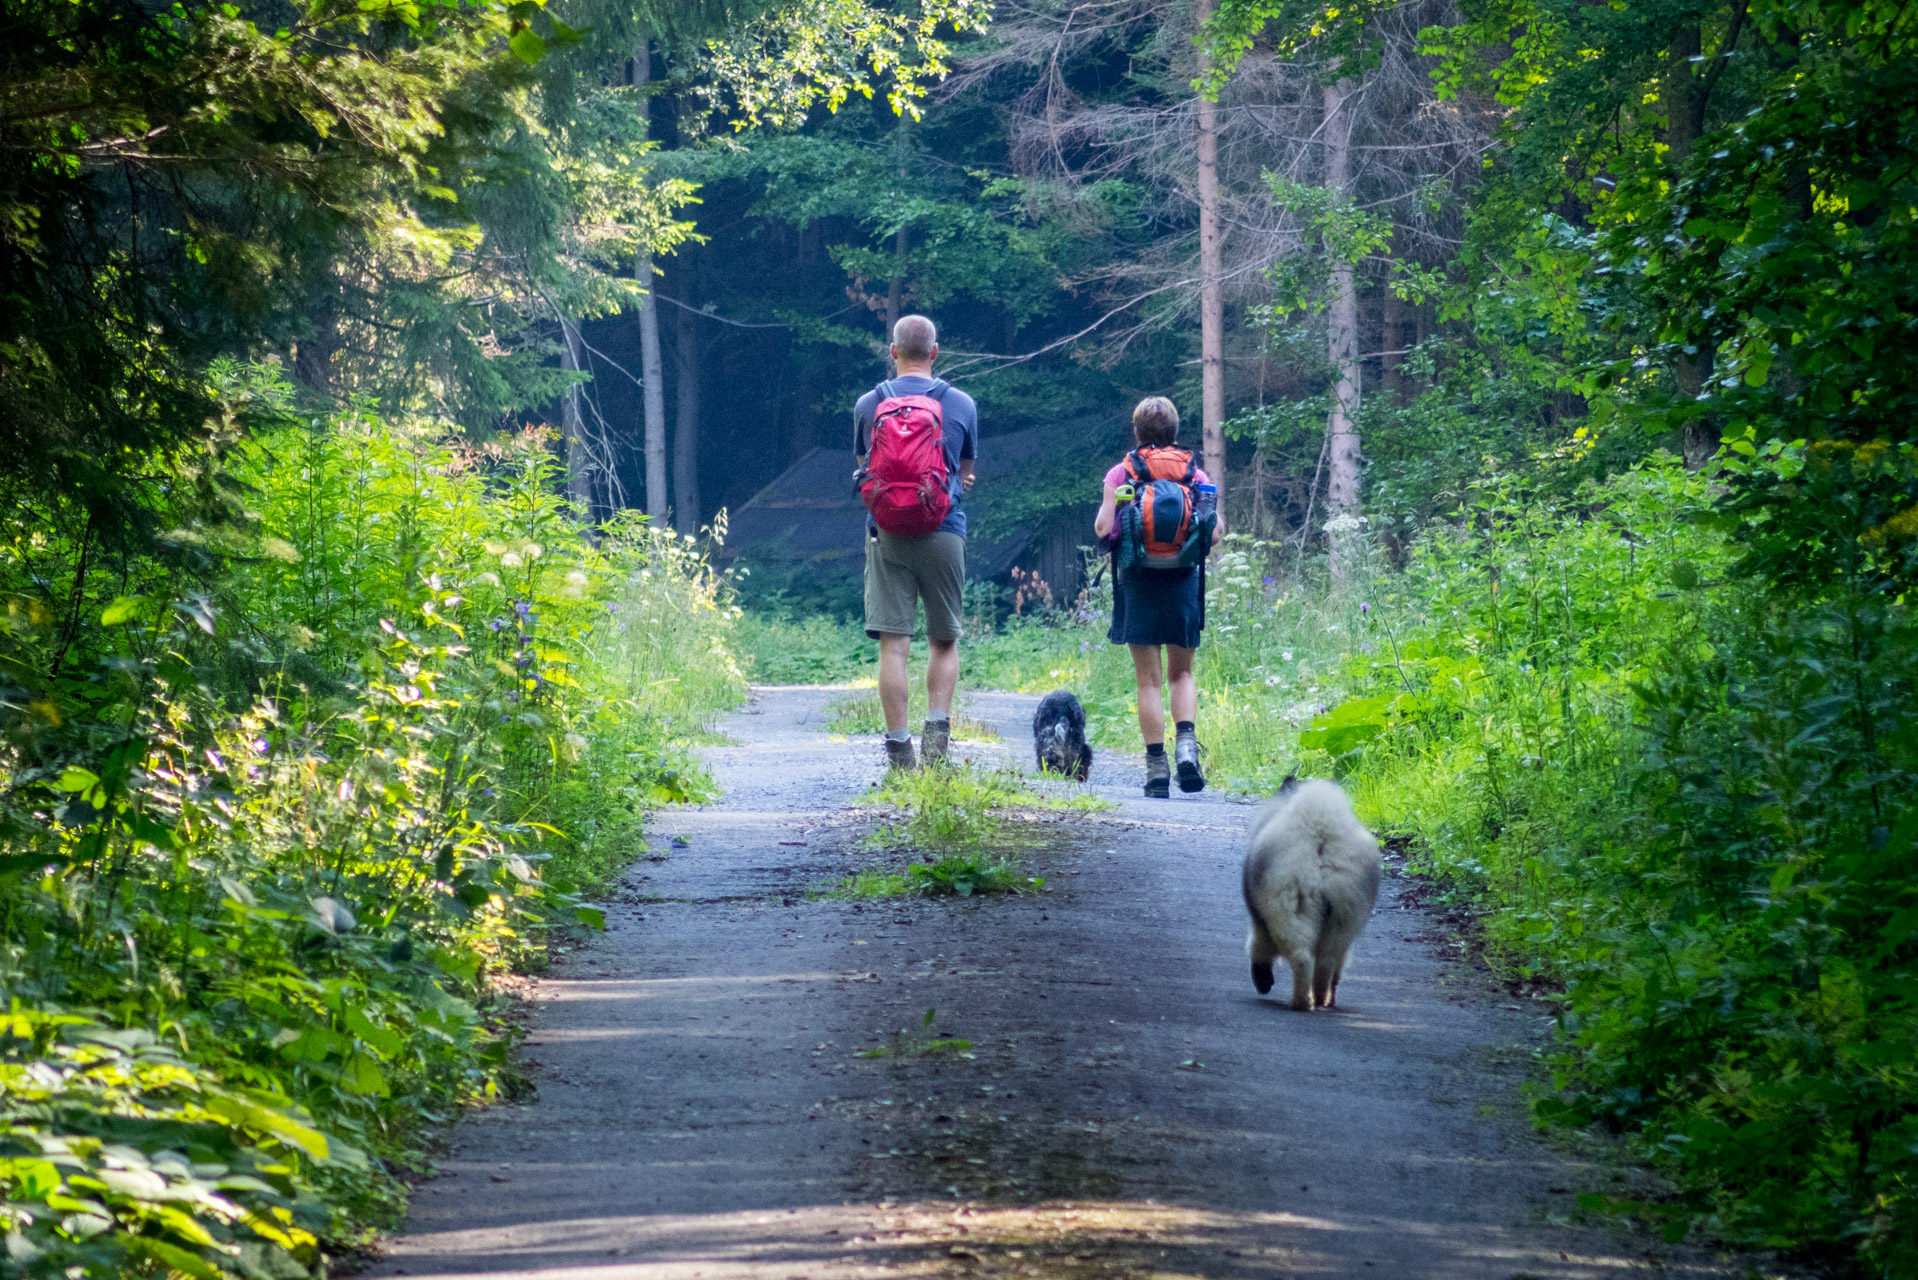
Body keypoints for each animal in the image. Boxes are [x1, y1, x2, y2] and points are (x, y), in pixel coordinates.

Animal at [1242, 771, 1380, 1013]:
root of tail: (1321, 837)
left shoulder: (1260, 921)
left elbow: (1258, 947)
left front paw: (1263, 981)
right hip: (1345, 915)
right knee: (1327, 962)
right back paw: (1321, 999)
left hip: (1289, 906)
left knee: (1302, 958)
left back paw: (1301, 1002)